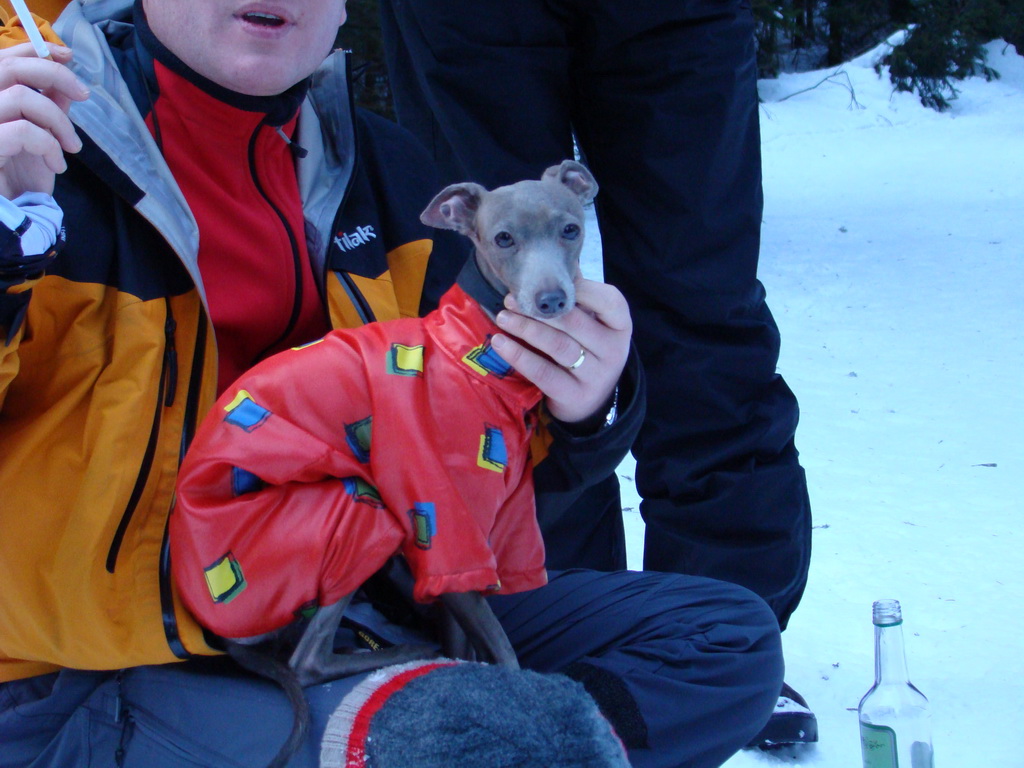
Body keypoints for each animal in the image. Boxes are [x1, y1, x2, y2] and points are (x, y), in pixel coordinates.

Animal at [172, 159, 598, 765]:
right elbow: (505, 656)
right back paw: (398, 651)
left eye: (570, 230)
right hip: (352, 512)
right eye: (503, 239)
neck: (473, 356)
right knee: (307, 661)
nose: (551, 300)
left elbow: (470, 642)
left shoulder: (495, 530)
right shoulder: (444, 534)